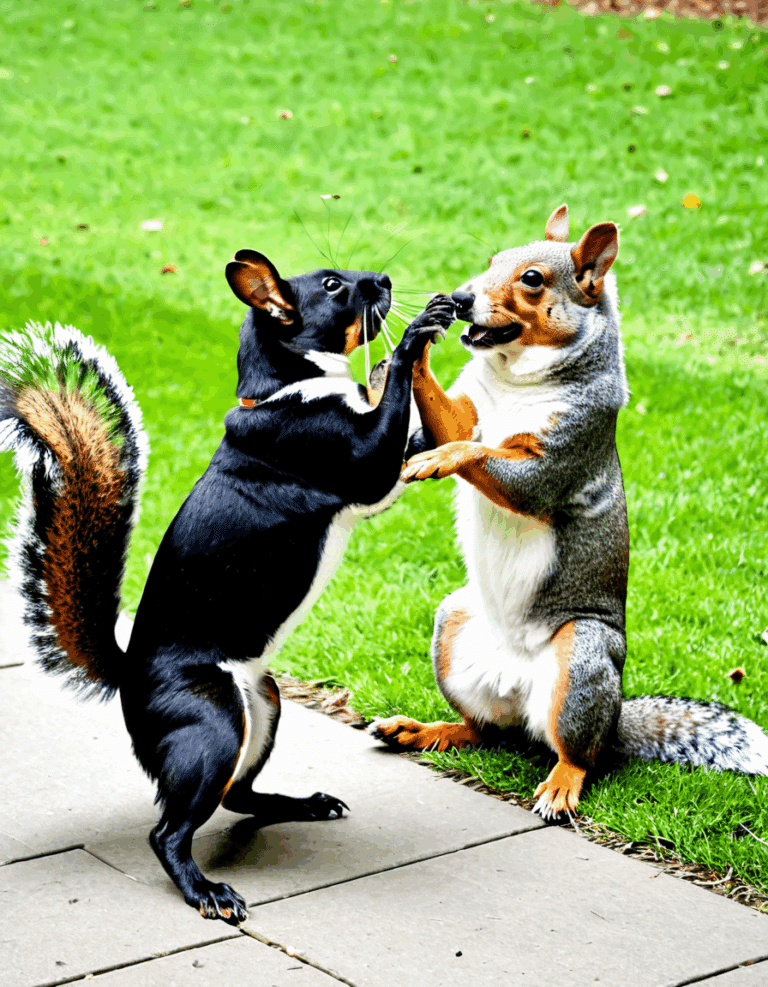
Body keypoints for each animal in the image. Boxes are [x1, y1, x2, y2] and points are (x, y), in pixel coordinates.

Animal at [0, 251, 455, 923]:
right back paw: (206, 892)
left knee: (238, 796)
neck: (283, 391)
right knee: (170, 831)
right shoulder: (342, 459)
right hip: (211, 723)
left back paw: (305, 804)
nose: (385, 283)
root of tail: (129, 675)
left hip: (261, 704)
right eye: (333, 286)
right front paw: (415, 336)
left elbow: (414, 444)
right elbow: (383, 444)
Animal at [371, 204, 768, 820]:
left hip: (581, 658)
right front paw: (416, 340)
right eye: (491, 260)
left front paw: (442, 458)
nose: (460, 298)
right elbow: (456, 424)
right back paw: (424, 729)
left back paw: (561, 785)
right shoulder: (470, 411)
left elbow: (497, 465)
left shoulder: (565, 450)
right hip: (453, 628)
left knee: (579, 753)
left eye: (532, 279)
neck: (513, 374)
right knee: (483, 729)